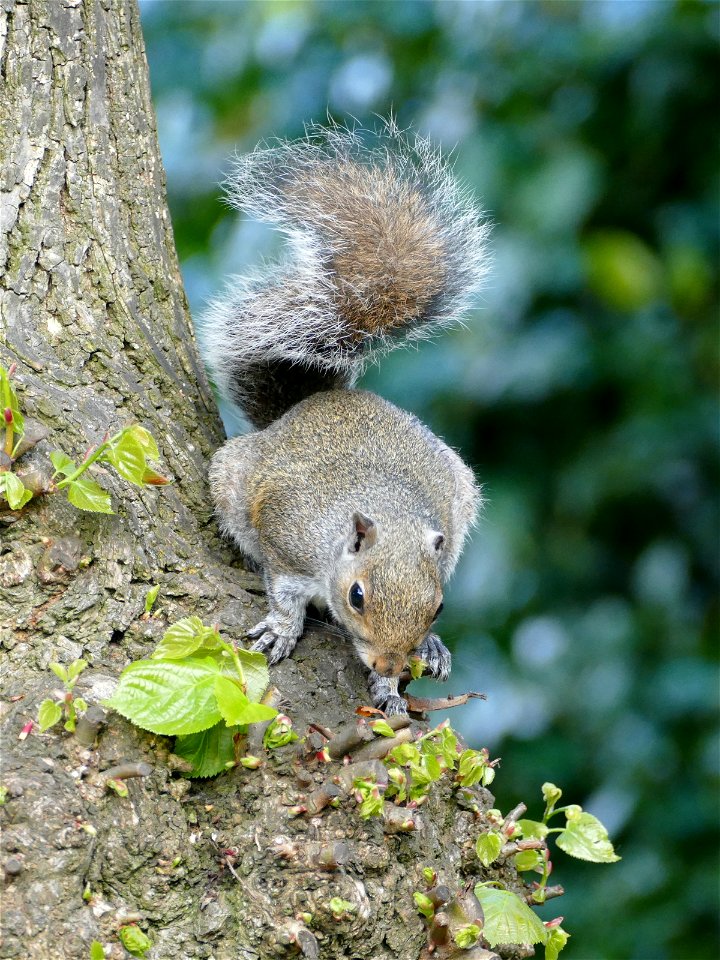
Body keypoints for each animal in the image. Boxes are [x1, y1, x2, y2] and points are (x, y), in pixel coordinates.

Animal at [205, 122, 492, 712]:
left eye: (439, 606)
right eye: (357, 596)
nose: (388, 662)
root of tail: (307, 404)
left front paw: (393, 679)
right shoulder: (287, 538)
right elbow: (285, 593)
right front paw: (283, 627)